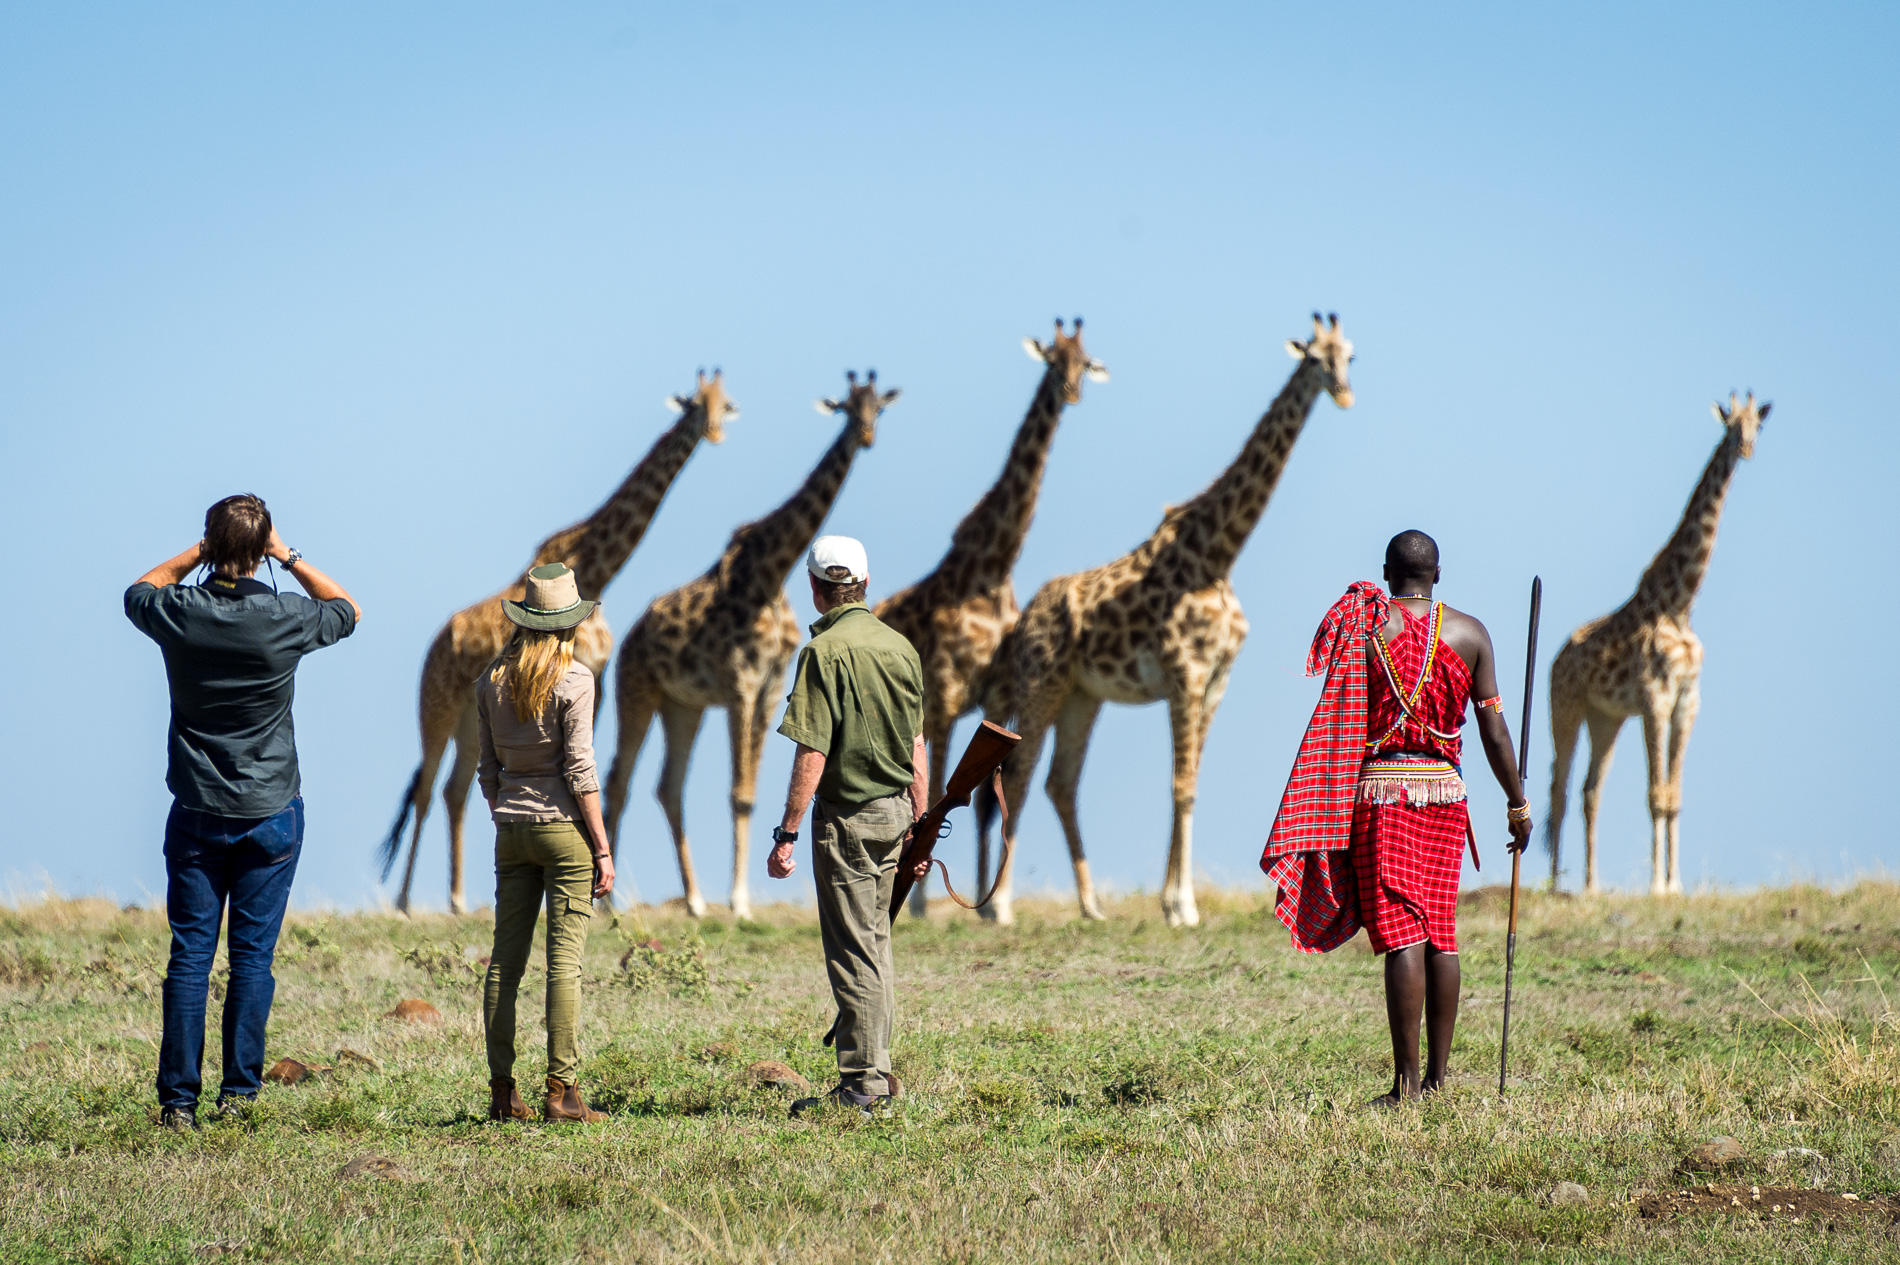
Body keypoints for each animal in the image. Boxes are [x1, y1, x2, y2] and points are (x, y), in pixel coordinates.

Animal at [378, 370, 733, 911]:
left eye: (725, 404)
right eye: (695, 405)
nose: (713, 433)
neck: (597, 569)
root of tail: (436, 646)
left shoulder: (595, 678)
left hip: (468, 717)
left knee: (454, 789)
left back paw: (457, 900)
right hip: (434, 704)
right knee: (425, 789)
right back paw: (402, 904)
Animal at [608, 366, 904, 915]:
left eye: (879, 406)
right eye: (847, 407)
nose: (867, 435)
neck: (771, 573)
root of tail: (632, 636)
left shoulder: (770, 687)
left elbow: (748, 792)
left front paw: (736, 899)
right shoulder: (740, 683)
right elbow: (738, 793)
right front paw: (741, 902)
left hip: (684, 705)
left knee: (668, 787)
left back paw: (694, 901)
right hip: (635, 689)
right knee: (619, 779)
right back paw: (607, 901)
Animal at [877, 315, 1109, 907]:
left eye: (1086, 361)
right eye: (1052, 358)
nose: (1071, 391)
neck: (991, 570)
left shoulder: (999, 695)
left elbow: (984, 800)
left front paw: (987, 902)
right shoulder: (943, 696)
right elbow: (940, 784)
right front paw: (924, 904)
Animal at [980, 315, 1352, 926]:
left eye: (1350, 355)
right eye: (1316, 358)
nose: (1343, 393)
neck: (1217, 556)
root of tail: (1022, 621)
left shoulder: (1217, 681)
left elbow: (1191, 782)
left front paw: (1173, 901)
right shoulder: (1186, 674)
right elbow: (1180, 784)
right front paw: (1181, 905)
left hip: (1083, 696)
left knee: (1061, 782)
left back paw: (1091, 905)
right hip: (1042, 683)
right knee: (1020, 774)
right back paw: (999, 908)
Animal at [1542, 389, 1763, 892]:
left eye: (1757, 425)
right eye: (1730, 426)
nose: (1745, 449)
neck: (1679, 604)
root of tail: (1556, 659)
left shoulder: (1687, 700)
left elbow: (1673, 795)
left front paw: (1675, 884)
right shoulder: (1654, 698)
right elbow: (1655, 794)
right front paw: (1657, 887)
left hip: (1606, 718)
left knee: (1590, 791)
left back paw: (1591, 885)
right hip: (1566, 707)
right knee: (1559, 789)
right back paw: (1555, 884)